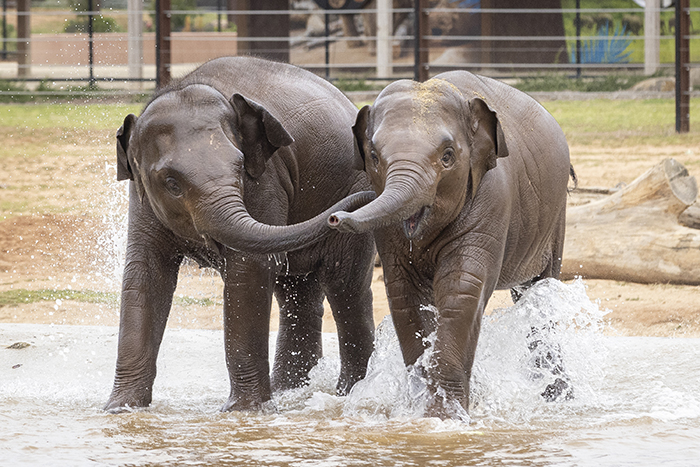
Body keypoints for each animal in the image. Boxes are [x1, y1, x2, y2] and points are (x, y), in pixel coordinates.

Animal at [104, 57, 376, 413]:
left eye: (239, 168)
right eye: (171, 183)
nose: (337, 216)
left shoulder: (266, 179)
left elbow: (249, 269)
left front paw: (243, 411)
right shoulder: (142, 198)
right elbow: (145, 274)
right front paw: (119, 409)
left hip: (352, 193)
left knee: (346, 288)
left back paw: (349, 393)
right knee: (298, 292)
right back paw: (289, 392)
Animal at [328, 71, 574, 419]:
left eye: (447, 157)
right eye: (374, 157)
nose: (334, 218)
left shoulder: (492, 197)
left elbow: (462, 286)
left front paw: (446, 416)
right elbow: (404, 293)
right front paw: (420, 410)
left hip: (555, 215)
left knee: (541, 289)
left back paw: (559, 398)